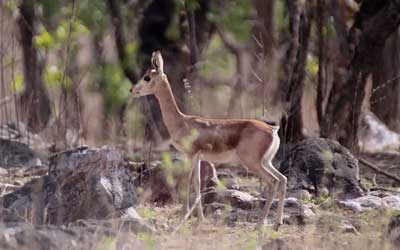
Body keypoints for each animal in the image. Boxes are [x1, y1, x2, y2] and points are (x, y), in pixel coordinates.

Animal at [130, 50, 286, 230]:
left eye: (147, 77)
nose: (132, 90)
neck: (182, 121)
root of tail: (272, 130)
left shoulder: (190, 155)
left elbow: (186, 183)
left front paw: (183, 217)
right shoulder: (198, 157)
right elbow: (197, 183)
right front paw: (200, 219)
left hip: (253, 163)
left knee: (273, 182)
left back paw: (260, 225)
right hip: (266, 162)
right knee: (282, 179)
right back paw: (277, 223)